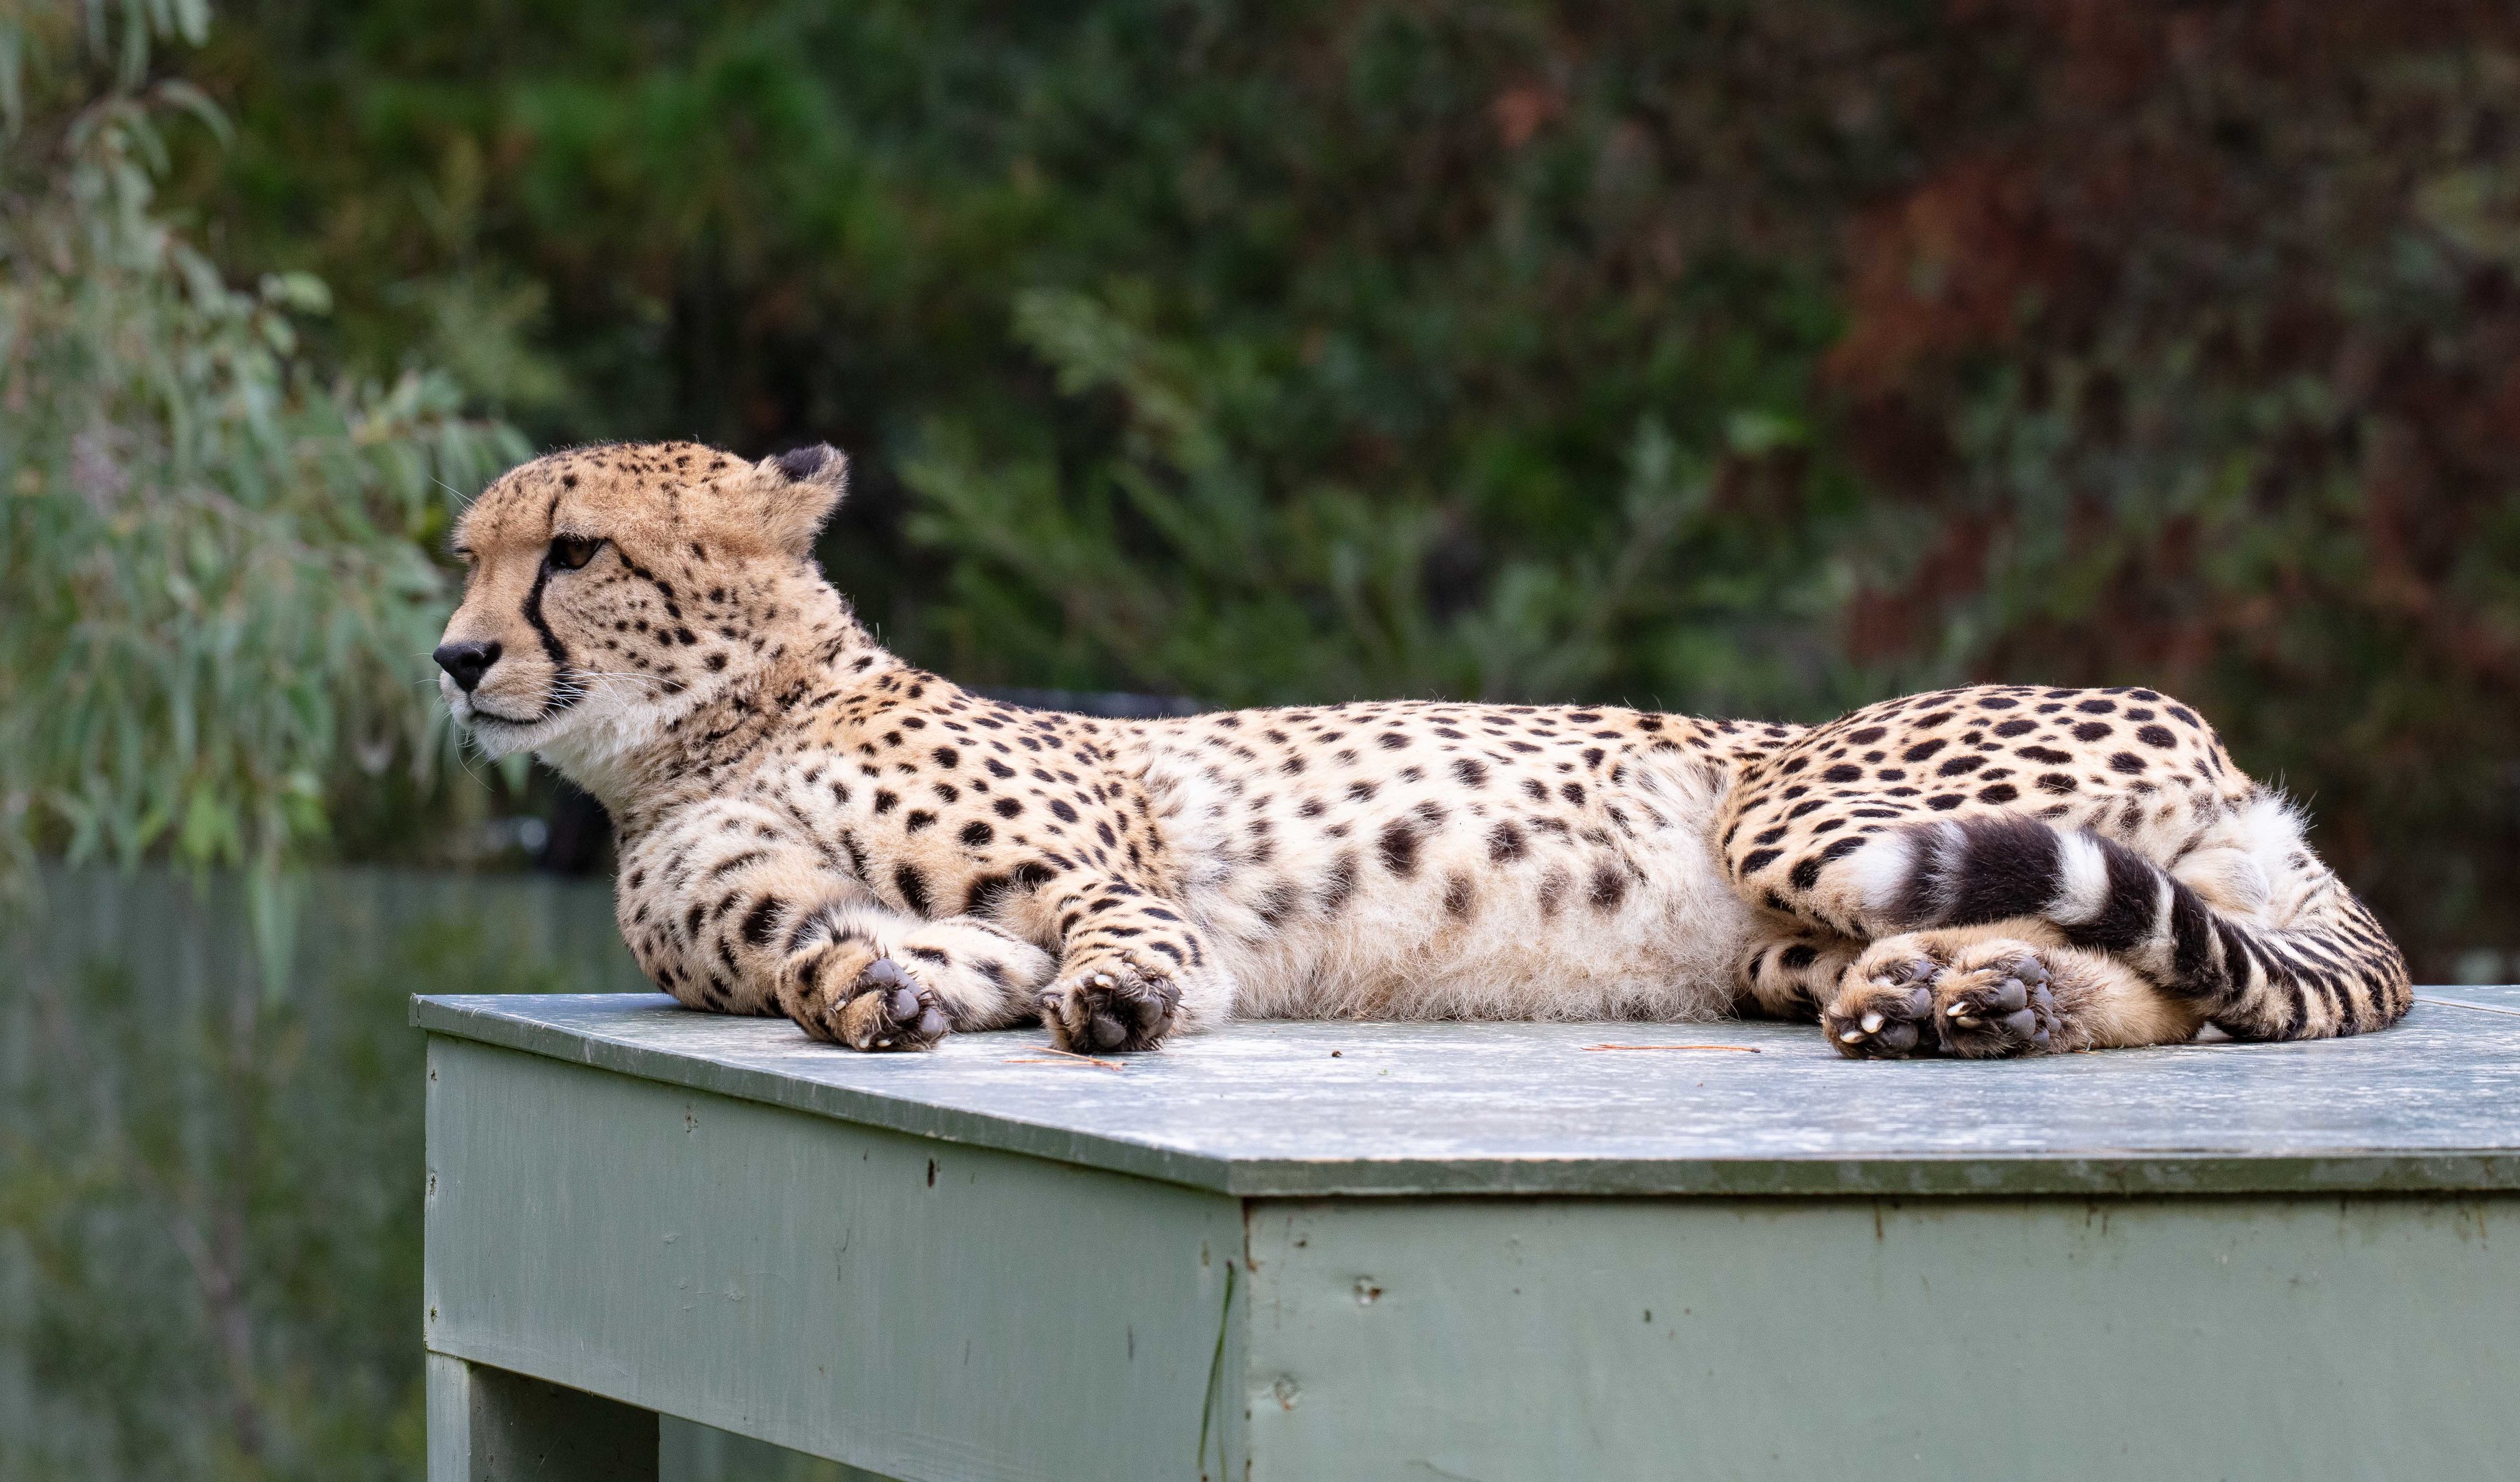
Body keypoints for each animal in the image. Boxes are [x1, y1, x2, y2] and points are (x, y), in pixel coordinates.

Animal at [432, 440, 2411, 1059]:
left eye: (573, 550)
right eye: (465, 554)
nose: (454, 659)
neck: (709, 741)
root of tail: (2239, 760)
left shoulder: (1108, 874)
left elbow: (1127, 935)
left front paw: (1125, 1003)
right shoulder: (878, 920)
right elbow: (861, 958)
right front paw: (870, 998)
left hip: (1807, 812)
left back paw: (1976, 996)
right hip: (1786, 941)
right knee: (2173, 983)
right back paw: (1970, 1000)